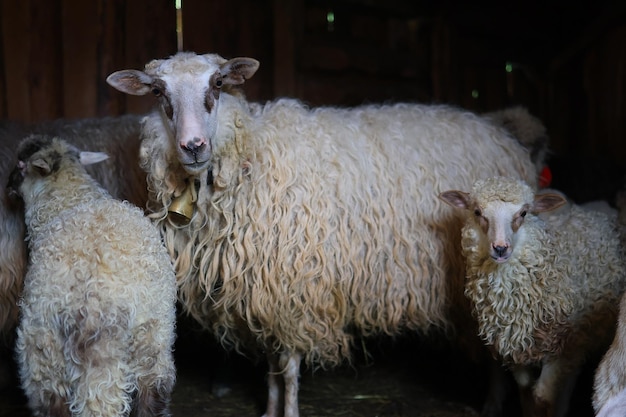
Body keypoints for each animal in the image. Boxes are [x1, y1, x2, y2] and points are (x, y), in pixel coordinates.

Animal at [7, 136, 178, 416]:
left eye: (21, 165)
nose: (7, 185)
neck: (71, 197)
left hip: (42, 349)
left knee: (54, 402)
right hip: (150, 337)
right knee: (151, 393)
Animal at [105, 51, 540, 416]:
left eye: (217, 84)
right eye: (158, 91)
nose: (193, 146)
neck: (252, 157)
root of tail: (503, 138)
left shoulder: (296, 286)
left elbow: (289, 367)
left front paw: (290, 411)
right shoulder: (263, 291)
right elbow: (272, 366)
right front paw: (269, 411)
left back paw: (492, 403)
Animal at [436, 176, 624, 416]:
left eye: (524, 213)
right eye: (477, 212)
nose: (500, 248)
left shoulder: (566, 345)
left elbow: (543, 397)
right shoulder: (514, 345)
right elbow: (527, 395)